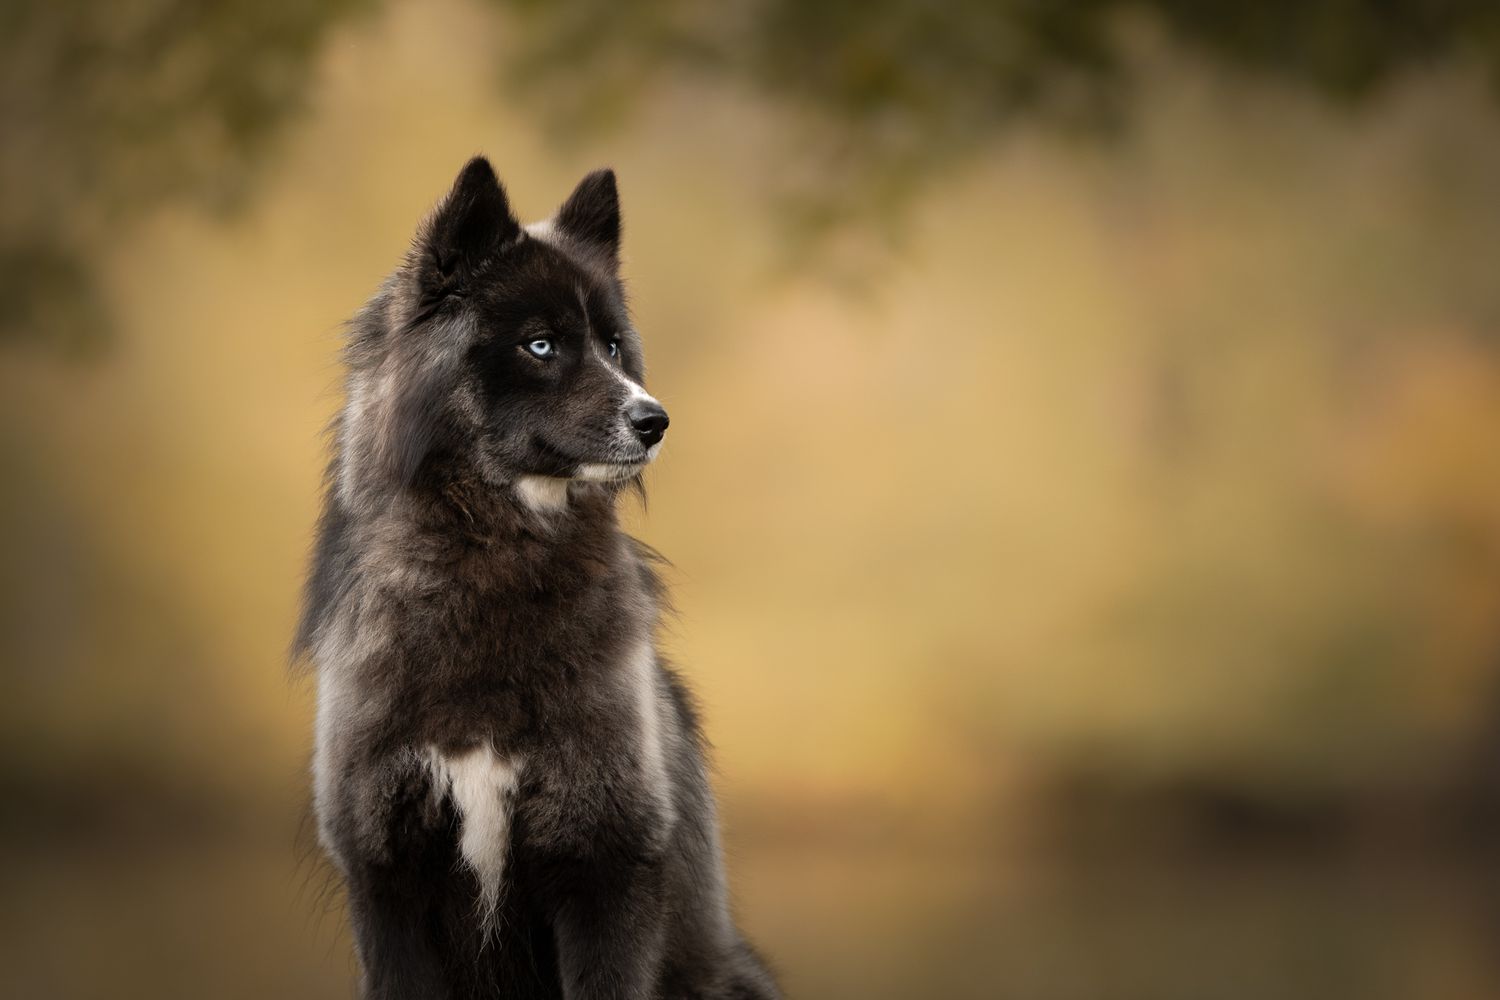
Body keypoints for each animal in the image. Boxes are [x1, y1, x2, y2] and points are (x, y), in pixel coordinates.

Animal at [292, 157, 780, 1000]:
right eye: (541, 344)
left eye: (613, 345)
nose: (655, 420)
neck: (495, 562)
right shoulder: (389, 883)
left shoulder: (606, 870)